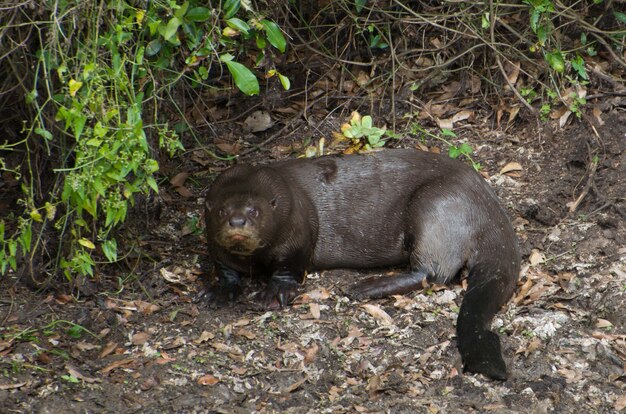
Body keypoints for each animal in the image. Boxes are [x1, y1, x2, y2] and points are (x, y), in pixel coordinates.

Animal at [204, 149, 516, 382]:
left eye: (254, 211)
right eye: (221, 211)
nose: (237, 222)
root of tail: (490, 209)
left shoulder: (296, 233)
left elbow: (289, 267)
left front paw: (273, 293)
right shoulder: (216, 246)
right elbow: (224, 268)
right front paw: (219, 291)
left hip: (435, 206)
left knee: (432, 272)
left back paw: (366, 287)